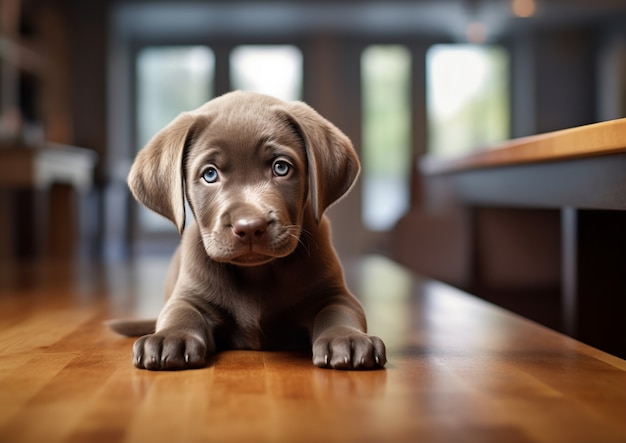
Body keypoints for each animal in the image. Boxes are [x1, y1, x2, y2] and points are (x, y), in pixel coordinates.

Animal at [109, 91, 388, 372]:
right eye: (210, 174)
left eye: (281, 167)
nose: (251, 226)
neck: (257, 273)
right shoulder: (189, 294)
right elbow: (179, 312)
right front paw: (170, 337)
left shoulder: (334, 293)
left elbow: (339, 312)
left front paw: (347, 338)